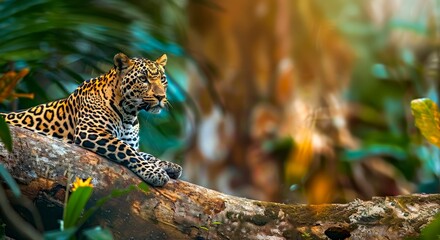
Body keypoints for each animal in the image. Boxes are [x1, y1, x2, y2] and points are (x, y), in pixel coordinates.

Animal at [0, 53, 182, 187]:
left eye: (163, 79)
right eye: (143, 79)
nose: (161, 96)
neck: (129, 114)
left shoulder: (129, 140)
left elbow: (144, 154)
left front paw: (169, 165)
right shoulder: (90, 131)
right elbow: (128, 151)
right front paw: (154, 173)